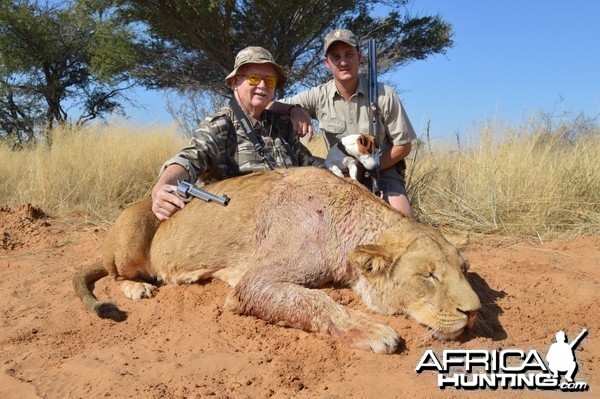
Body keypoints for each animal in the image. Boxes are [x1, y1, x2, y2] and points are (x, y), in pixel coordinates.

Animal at [74, 167, 478, 354]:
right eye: (428, 276)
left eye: (463, 270)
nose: (473, 312)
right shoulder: (253, 283)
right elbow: (317, 300)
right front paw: (375, 332)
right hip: (134, 224)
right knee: (114, 274)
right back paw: (138, 287)